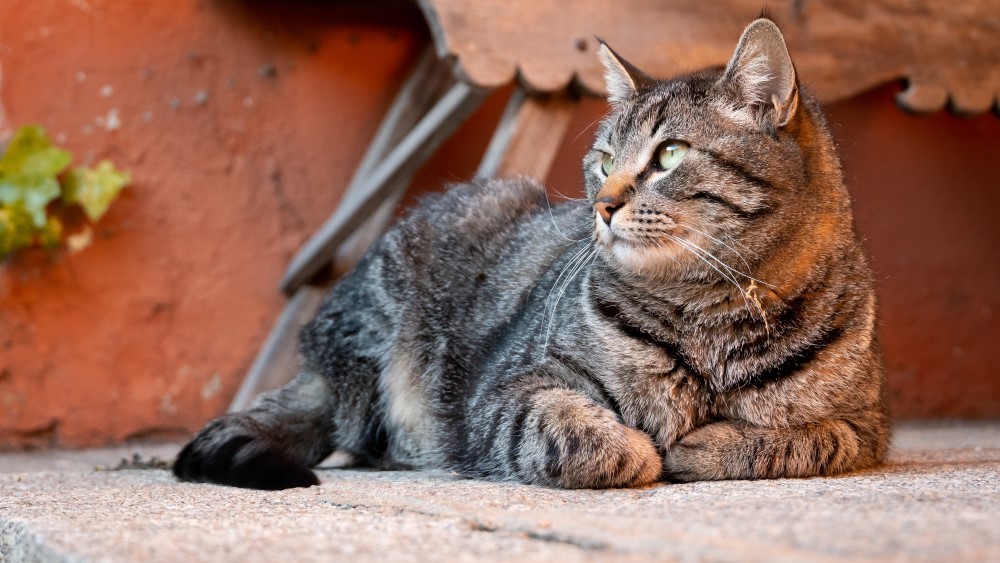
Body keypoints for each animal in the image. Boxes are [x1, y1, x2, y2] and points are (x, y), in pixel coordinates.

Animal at [172, 18, 892, 490]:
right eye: (603, 158)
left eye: (668, 155)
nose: (602, 203)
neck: (709, 316)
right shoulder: (510, 388)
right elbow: (580, 434)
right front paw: (641, 448)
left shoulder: (865, 425)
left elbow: (799, 441)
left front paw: (704, 443)